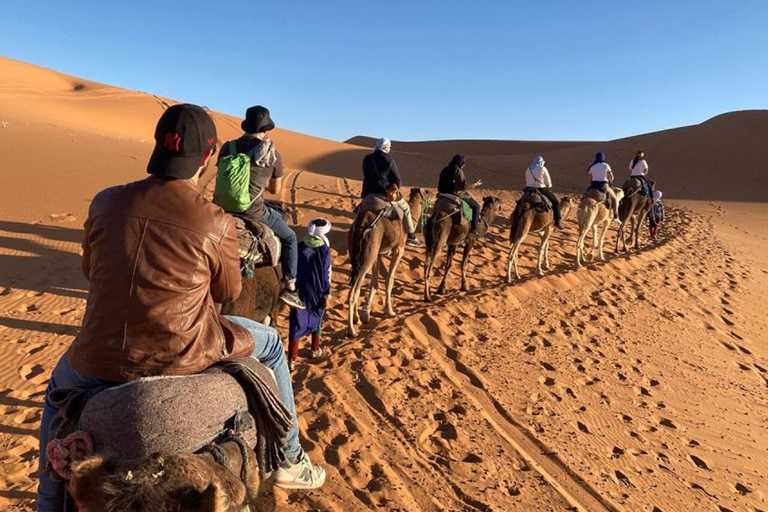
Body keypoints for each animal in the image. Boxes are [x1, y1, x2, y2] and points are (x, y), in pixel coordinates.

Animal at [346, 186, 428, 338]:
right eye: (426, 192)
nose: (434, 195)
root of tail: (362, 224)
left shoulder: (378, 254)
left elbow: (374, 283)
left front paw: (366, 314)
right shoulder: (399, 249)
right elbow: (389, 280)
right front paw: (389, 310)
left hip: (360, 254)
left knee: (356, 287)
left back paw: (357, 319)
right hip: (367, 257)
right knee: (353, 292)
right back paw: (351, 331)